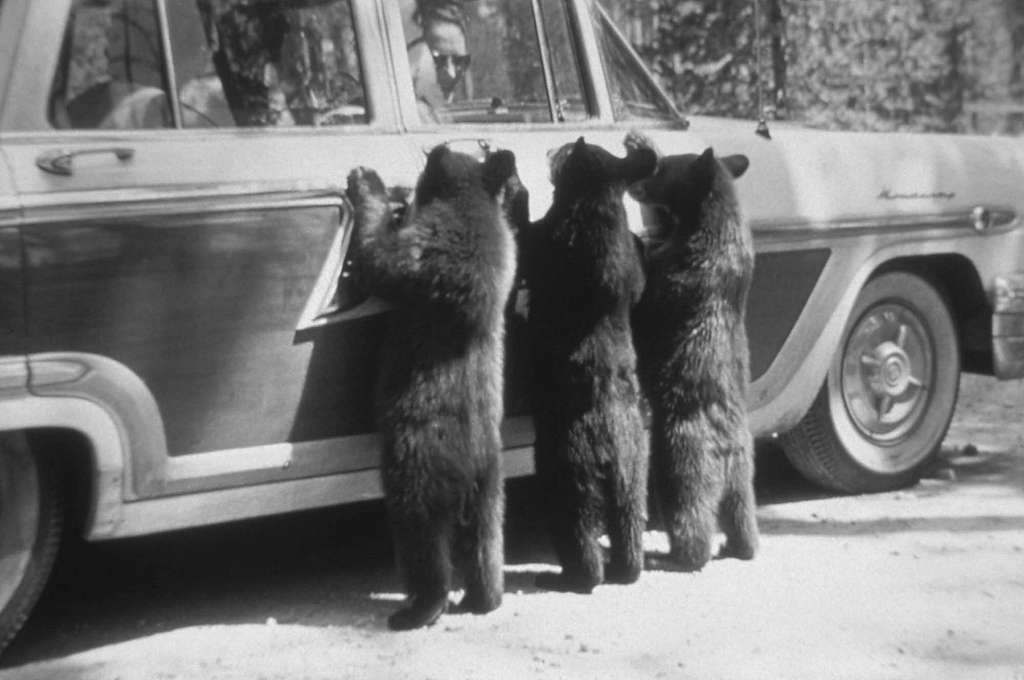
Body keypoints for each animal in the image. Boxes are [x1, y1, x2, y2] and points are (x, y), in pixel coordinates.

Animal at [344, 144, 519, 630]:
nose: (423, 161)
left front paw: (368, 182)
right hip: (492, 484)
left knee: (420, 538)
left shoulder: (426, 245)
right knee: (486, 541)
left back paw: (417, 609)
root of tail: (472, 463)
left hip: (416, 465)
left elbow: (381, 258)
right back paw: (485, 599)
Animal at [519, 136, 656, 593]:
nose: (550, 152)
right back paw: (627, 570)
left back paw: (573, 577)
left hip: (567, 476)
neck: (599, 203)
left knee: (575, 531)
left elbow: (529, 239)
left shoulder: (551, 237)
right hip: (634, 475)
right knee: (629, 524)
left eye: (563, 153)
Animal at [627, 141, 760, 572]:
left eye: (661, 168)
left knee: (689, 509)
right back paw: (743, 545)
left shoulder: (682, 272)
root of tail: (726, 449)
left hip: (680, 457)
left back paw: (679, 554)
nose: (635, 183)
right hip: (744, 473)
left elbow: (649, 291)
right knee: (741, 511)